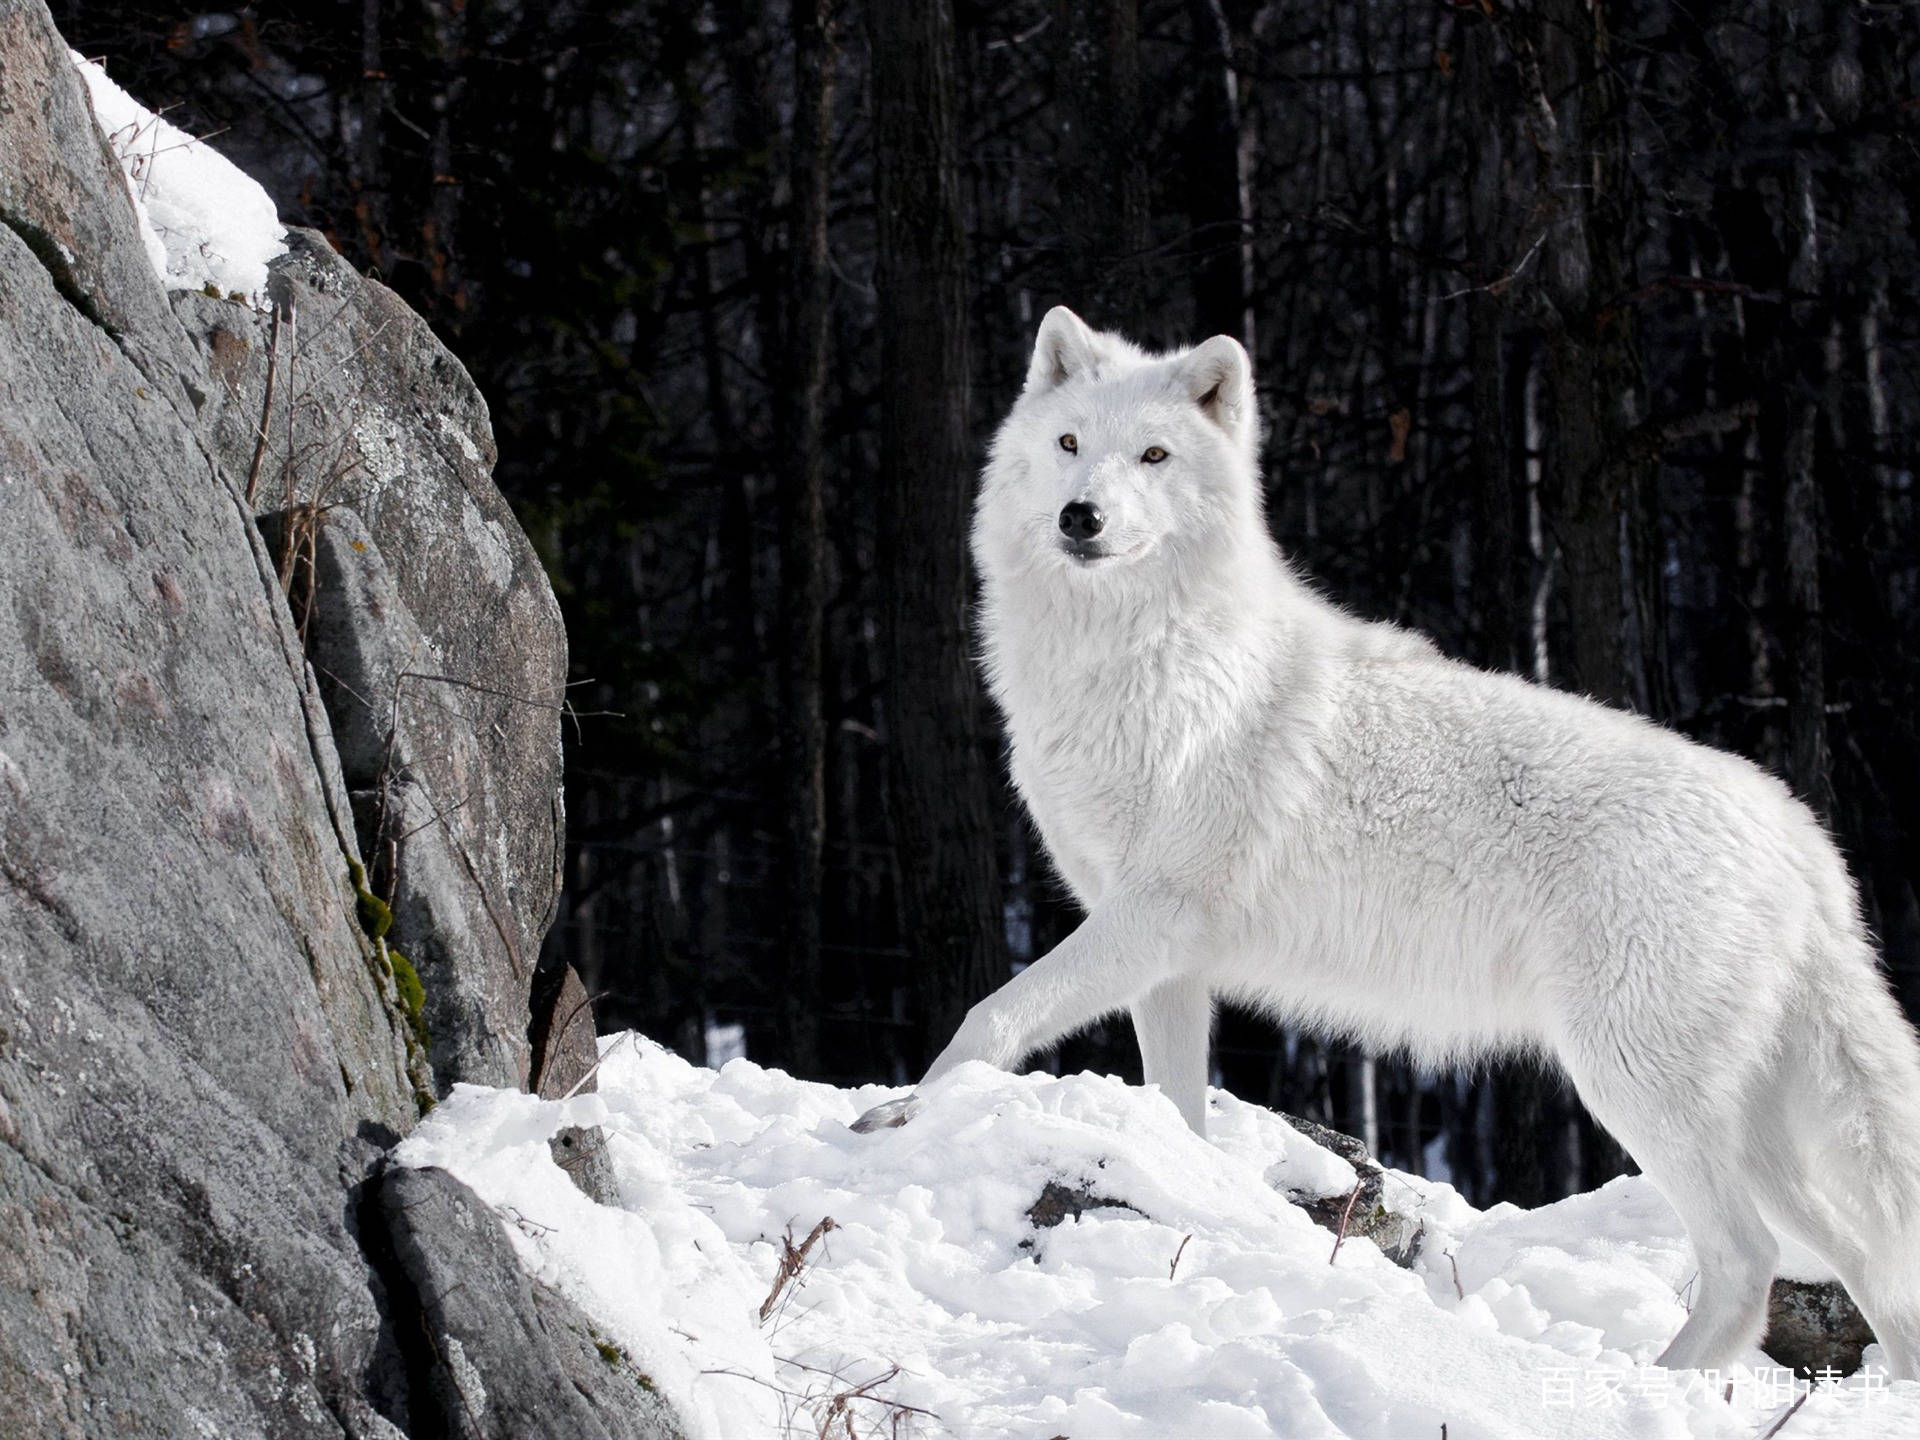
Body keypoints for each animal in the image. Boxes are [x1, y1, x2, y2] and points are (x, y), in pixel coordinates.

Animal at [860, 301, 1920, 1374]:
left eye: (1153, 456)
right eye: (1071, 445)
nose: (1082, 517)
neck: (1137, 663)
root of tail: (1800, 835)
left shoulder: (1147, 918)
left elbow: (989, 1017)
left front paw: (897, 1115)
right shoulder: (1167, 963)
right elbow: (1178, 1112)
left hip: (1631, 1083)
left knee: (1749, 1264)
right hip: (1750, 1127)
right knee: (1869, 1265)